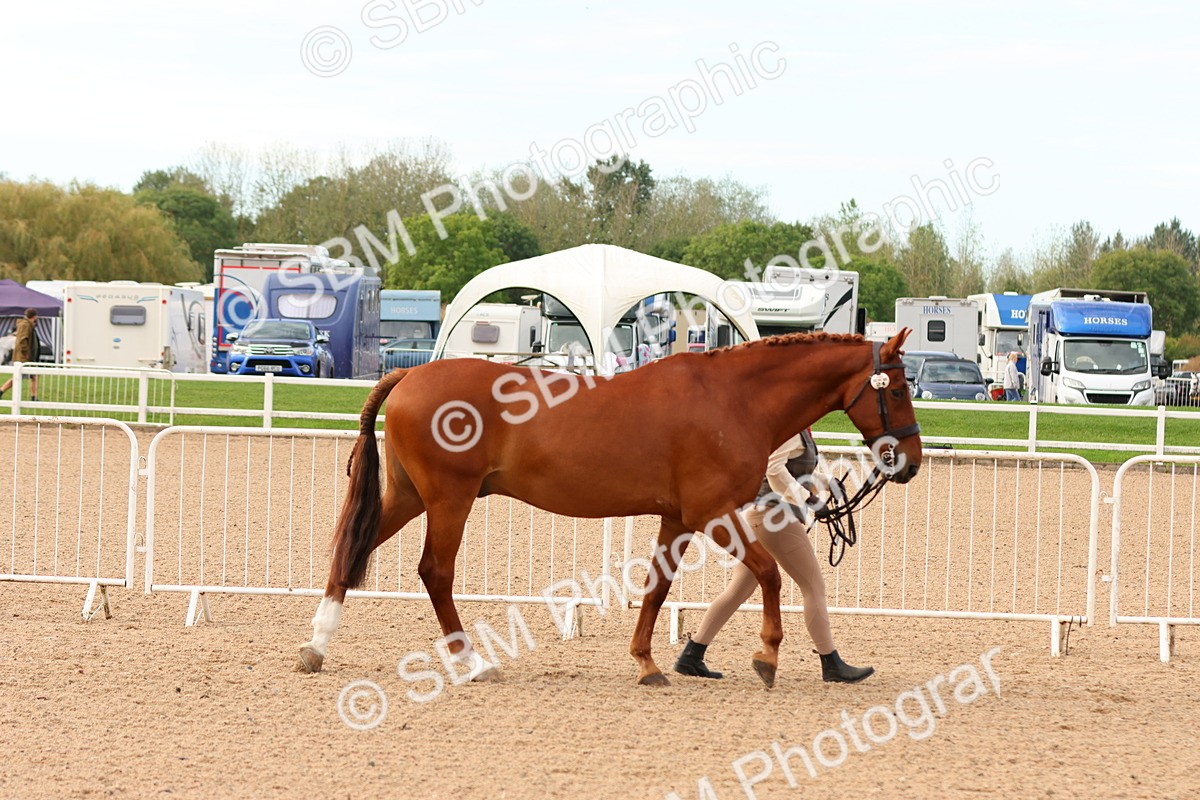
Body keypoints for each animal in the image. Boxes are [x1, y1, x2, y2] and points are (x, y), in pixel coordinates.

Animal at [296, 329, 922, 686]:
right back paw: (473, 663)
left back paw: (316, 647)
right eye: (895, 389)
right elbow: (768, 574)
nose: (910, 462)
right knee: (435, 572)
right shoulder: (712, 513)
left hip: (407, 497)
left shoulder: (679, 518)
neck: (732, 399)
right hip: (450, 500)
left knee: (350, 552)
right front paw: (767, 657)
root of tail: (408, 373)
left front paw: (647, 663)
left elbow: (658, 588)